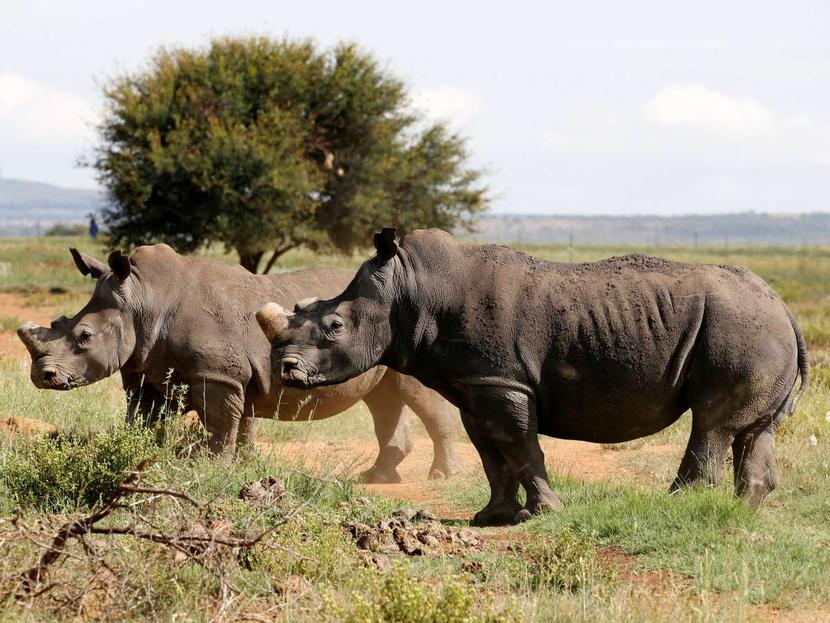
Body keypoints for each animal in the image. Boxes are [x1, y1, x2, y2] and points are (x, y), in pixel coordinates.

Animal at [17, 244, 461, 483]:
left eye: (84, 337)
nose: (42, 376)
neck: (144, 299)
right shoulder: (152, 370)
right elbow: (149, 420)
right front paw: (141, 459)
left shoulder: (218, 376)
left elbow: (221, 425)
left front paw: (214, 468)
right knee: (383, 397)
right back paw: (375, 478)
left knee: (416, 396)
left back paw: (441, 476)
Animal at [257, 228, 809, 526]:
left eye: (335, 326)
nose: (286, 369)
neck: (412, 290)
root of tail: (784, 306)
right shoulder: (476, 384)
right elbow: (492, 454)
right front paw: (493, 517)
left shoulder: (502, 382)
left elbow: (522, 446)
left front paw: (545, 513)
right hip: (757, 329)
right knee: (752, 429)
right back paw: (742, 513)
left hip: (741, 327)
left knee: (711, 424)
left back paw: (676, 507)